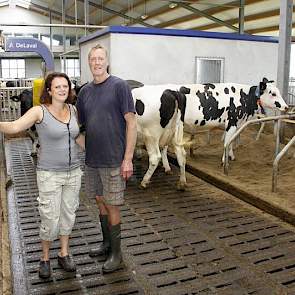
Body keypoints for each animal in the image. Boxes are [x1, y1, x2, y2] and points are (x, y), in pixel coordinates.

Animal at [134, 77, 290, 191]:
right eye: (273, 93)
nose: (286, 107)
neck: (244, 97)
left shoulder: (234, 125)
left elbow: (230, 142)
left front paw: (231, 156)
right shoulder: (232, 123)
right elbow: (227, 142)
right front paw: (224, 161)